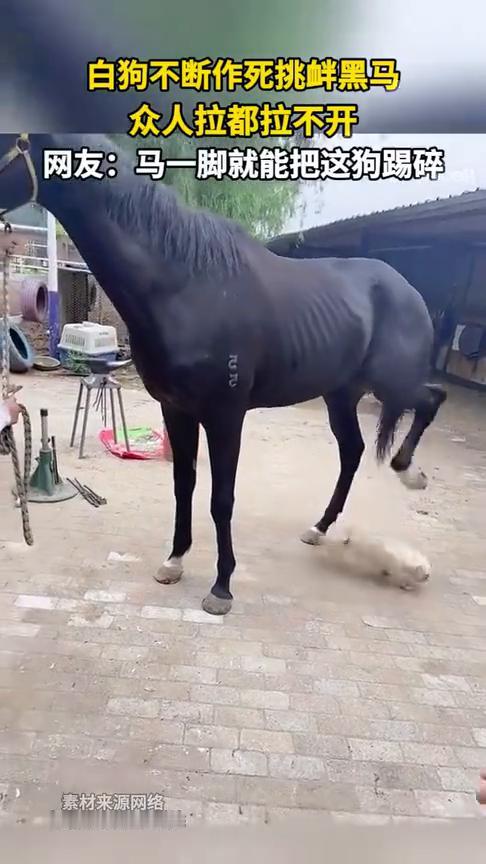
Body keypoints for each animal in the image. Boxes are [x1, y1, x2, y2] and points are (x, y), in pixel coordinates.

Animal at [0, 134, 446, 615]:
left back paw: (409, 472)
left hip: (389, 383)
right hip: (340, 394)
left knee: (431, 399)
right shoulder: (176, 409)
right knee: (353, 450)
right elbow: (184, 485)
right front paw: (174, 561)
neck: (188, 286)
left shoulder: (225, 414)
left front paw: (221, 586)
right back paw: (320, 527)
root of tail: (408, 289)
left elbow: (221, 498)